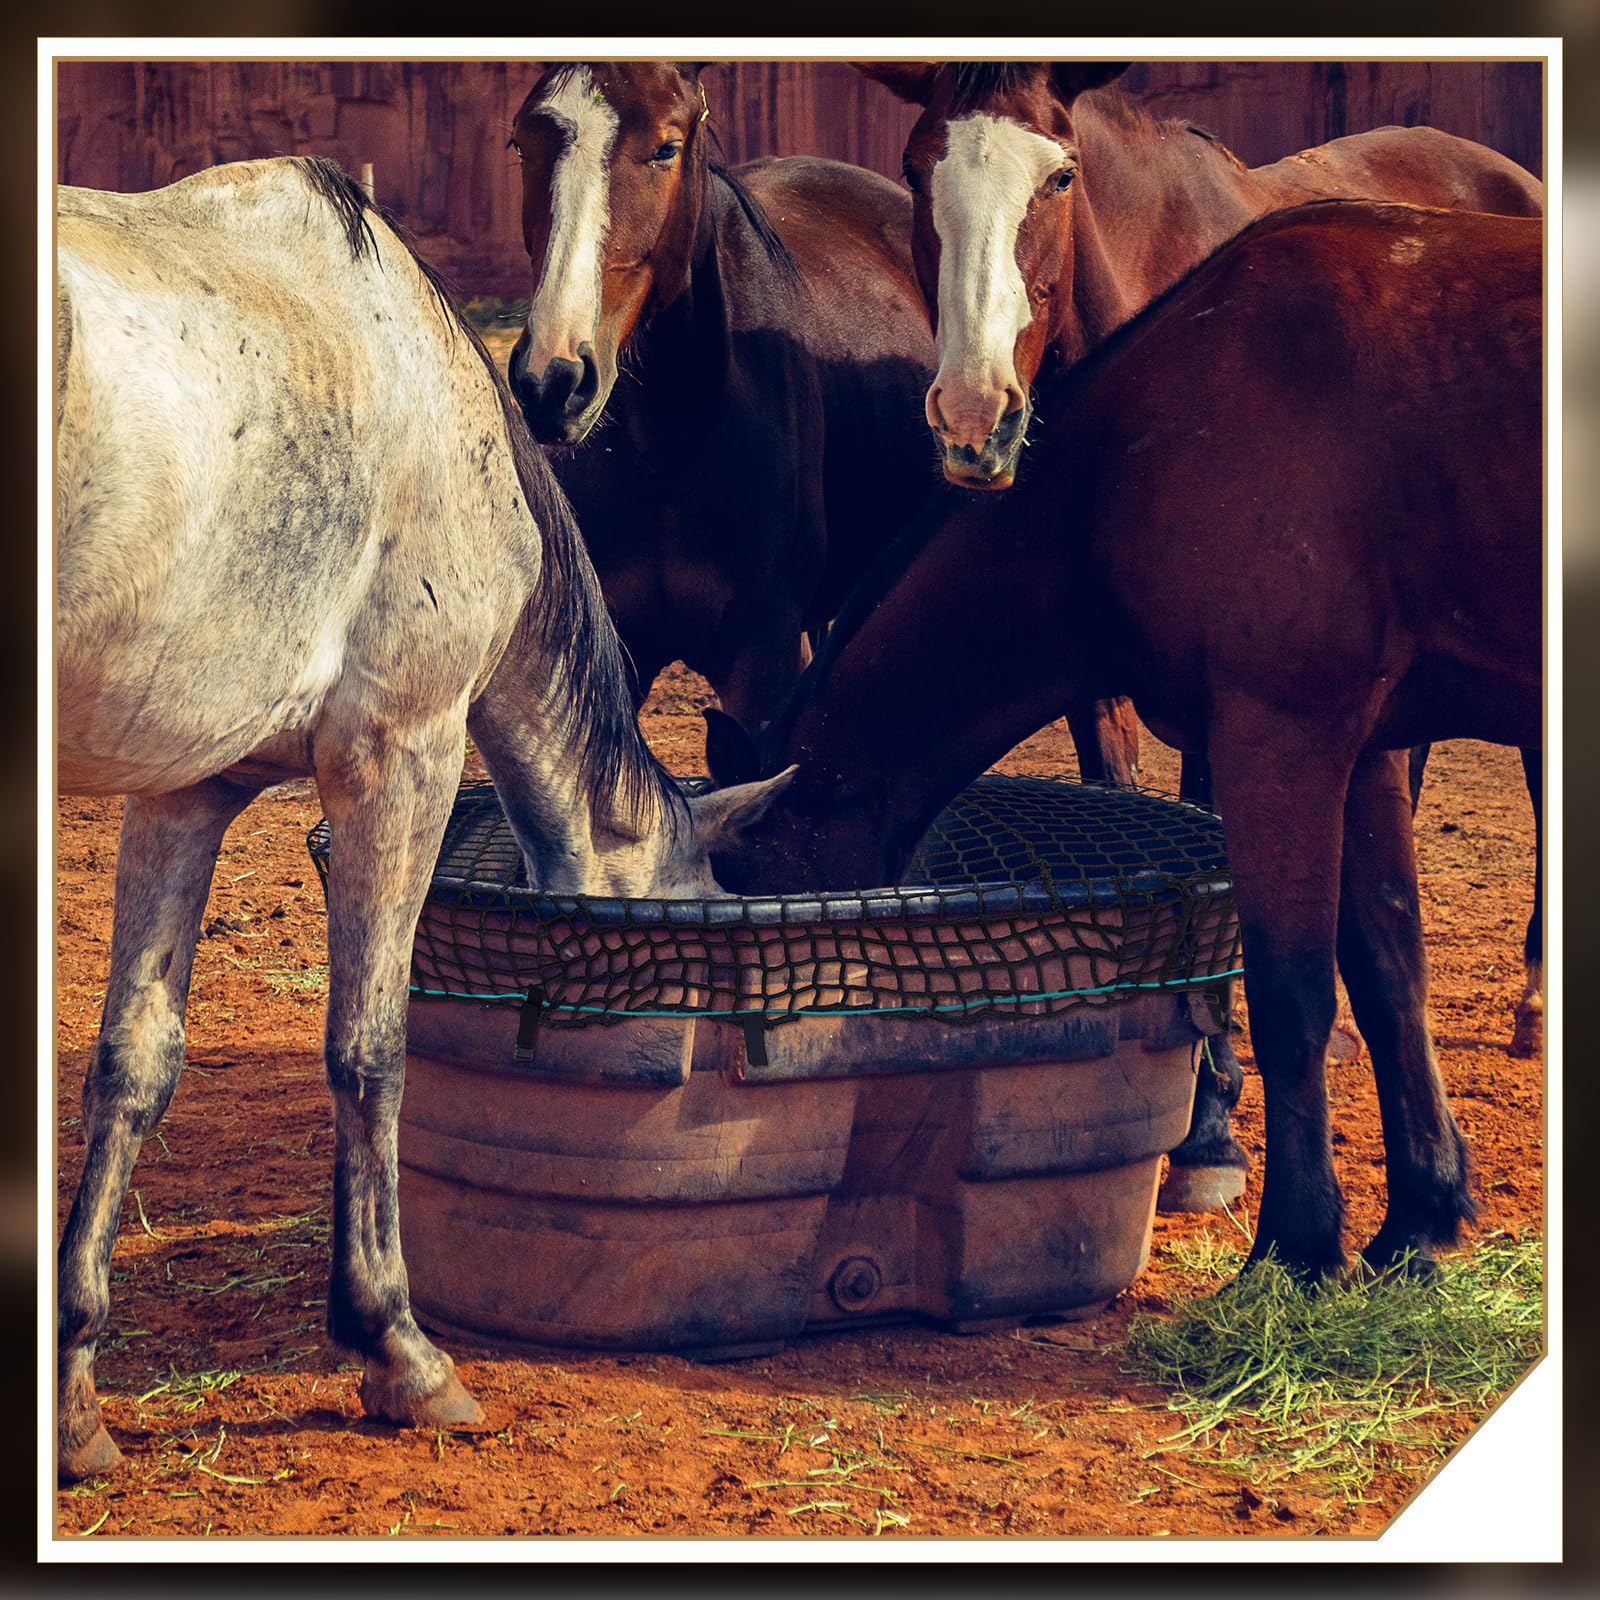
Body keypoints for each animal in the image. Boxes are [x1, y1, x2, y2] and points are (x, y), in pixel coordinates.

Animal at [54, 156, 792, 1482]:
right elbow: (368, 1047)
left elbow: (134, 1062)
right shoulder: (402, 754)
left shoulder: (183, 790)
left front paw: (76, 1392)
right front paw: (398, 1347)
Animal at [704, 199, 1542, 1283]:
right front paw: (1416, 1222)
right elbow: (1391, 975)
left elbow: (1293, 994)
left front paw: (1294, 1245)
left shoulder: (1281, 738)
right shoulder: (1364, 751)